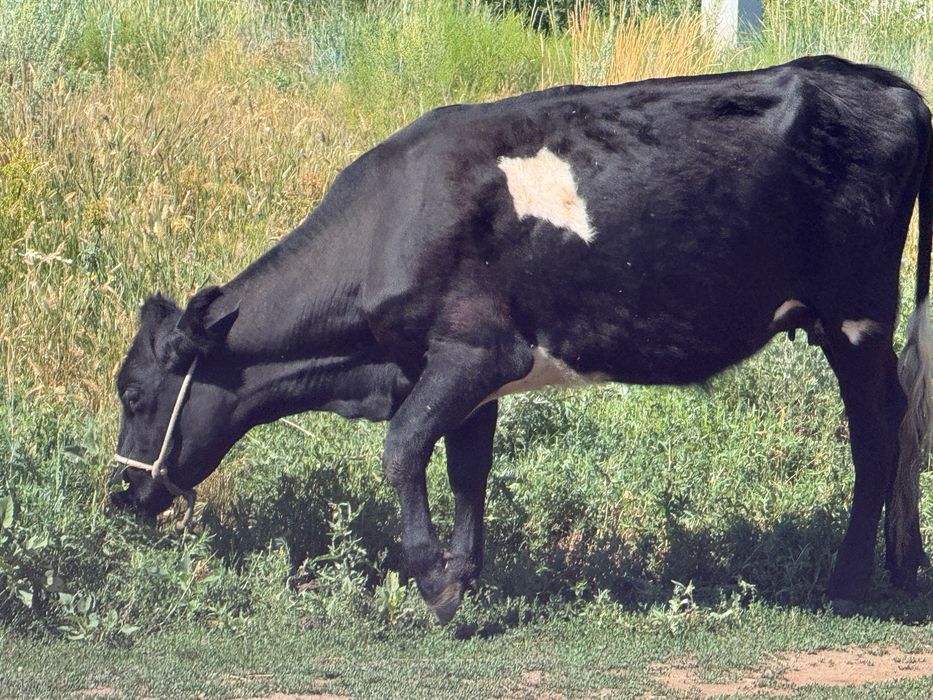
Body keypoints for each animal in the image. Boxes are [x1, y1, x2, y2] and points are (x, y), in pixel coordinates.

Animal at [110, 55, 932, 623]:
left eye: (134, 391)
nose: (118, 493)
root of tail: (888, 85)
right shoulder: (474, 378)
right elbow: (466, 470)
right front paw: (461, 577)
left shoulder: (475, 352)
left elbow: (402, 449)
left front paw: (431, 580)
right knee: (903, 418)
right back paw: (903, 567)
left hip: (853, 317)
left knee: (875, 430)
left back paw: (848, 583)